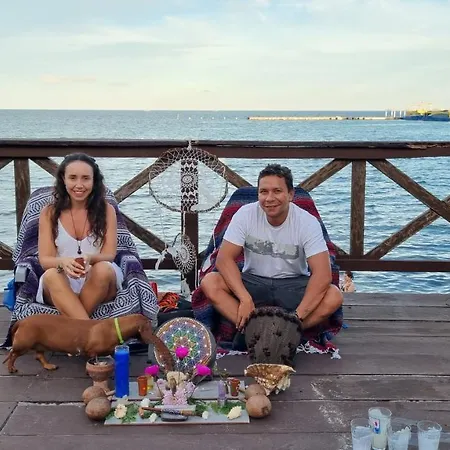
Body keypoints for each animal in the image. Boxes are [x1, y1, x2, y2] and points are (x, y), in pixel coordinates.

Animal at [3, 313, 174, 374]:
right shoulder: (91, 352)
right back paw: (11, 368)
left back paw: (48, 366)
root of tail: (21, 321)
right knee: (12, 354)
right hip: (24, 345)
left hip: (40, 344)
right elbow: (92, 360)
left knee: (39, 356)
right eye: (150, 327)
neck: (115, 327)